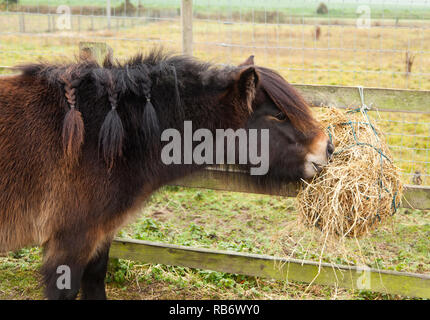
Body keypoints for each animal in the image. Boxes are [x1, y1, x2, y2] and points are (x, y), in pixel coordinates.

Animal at [0, 49, 332, 298]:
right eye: (278, 115)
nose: (327, 148)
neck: (105, 136)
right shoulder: (69, 244)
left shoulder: (99, 236)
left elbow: (95, 281)